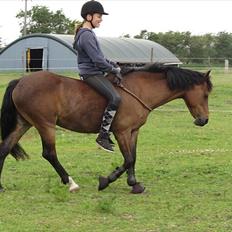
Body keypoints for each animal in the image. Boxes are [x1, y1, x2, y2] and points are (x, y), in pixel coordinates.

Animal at [0, 64, 212, 194]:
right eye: (205, 94)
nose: (204, 120)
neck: (140, 89)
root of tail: (20, 81)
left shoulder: (133, 131)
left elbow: (133, 157)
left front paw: (134, 184)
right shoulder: (122, 132)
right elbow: (128, 159)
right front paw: (106, 181)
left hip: (24, 123)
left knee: (4, 149)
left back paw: (1, 187)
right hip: (45, 124)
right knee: (49, 153)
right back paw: (71, 183)